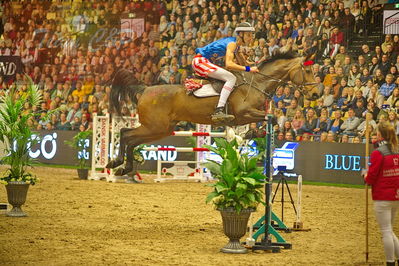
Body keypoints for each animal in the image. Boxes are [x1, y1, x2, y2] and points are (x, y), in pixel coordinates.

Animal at [105, 50, 318, 176]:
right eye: (307, 72)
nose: (316, 93)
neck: (258, 83)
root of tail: (145, 89)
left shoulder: (246, 117)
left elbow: (267, 122)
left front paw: (247, 136)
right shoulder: (244, 113)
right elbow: (269, 119)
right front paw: (248, 135)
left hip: (160, 129)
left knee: (129, 137)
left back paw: (122, 166)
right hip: (155, 127)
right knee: (126, 134)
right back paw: (117, 163)